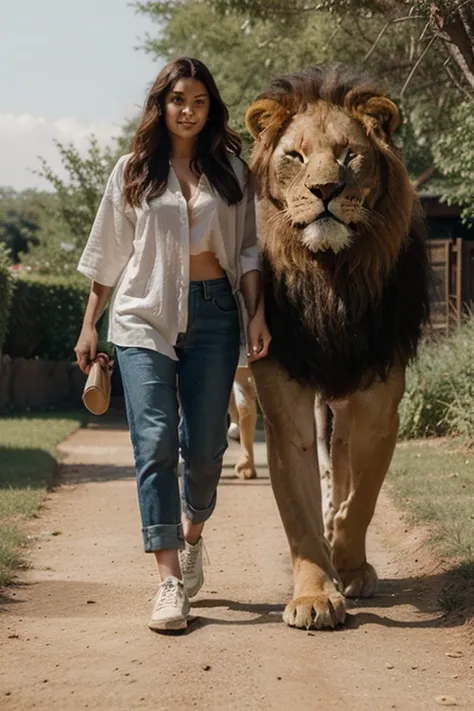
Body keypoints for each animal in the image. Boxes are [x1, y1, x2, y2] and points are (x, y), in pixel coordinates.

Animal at [246, 67, 432, 632]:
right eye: (295, 156)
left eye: (350, 155)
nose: (325, 189)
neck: (330, 278)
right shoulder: (284, 399)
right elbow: (300, 510)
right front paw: (315, 594)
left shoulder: (378, 400)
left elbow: (362, 497)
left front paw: (348, 565)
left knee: (344, 468)